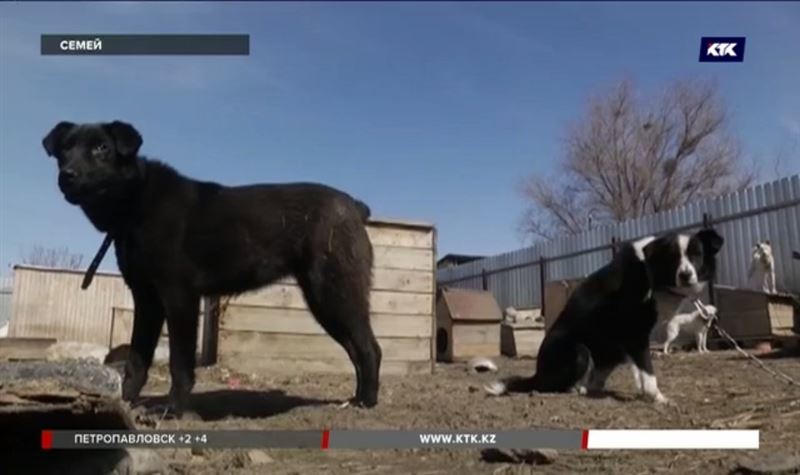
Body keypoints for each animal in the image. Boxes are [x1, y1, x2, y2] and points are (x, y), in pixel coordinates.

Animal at [43, 122, 382, 416]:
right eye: (65, 149)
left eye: (101, 147)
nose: (67, 175)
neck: (135, 202)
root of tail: (353, 206)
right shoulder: (147, 300)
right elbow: (137, 361)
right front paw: (124, 403)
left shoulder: (179, 297)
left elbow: (179, 363)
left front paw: (173, 410)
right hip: (326, 301)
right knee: (356, 350)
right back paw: (355, 399)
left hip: (334, 293)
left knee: (369, 349)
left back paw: (367, 402)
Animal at [488, 231, 724, 406]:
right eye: (672, 257)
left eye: (696, 255)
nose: (685, 275)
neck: (650, 273)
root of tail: (537, 373)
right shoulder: (634, 332)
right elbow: (648, 371)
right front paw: (657, 397)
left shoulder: (630, 340)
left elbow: (639, 369)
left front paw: (644, 392)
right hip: (579, 351)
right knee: (551, 384)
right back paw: (574, 389)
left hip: (611, 352)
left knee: (595, 378)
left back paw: (588, 388)